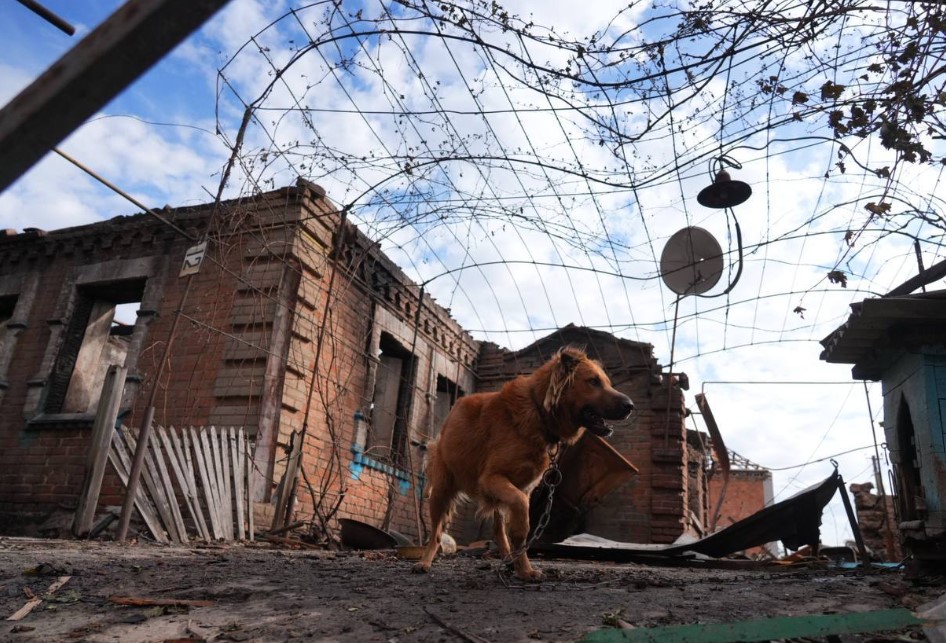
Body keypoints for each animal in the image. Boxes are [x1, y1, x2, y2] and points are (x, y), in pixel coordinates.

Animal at [412, 350, 636, 580]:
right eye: (593, 381)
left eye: (607, 383)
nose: (630, 406)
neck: (539, 412)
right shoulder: (493, 480)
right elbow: (521, 520)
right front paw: (523, 564)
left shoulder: (523, 489)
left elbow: (518, 527)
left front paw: (523, 568)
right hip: (441, 490)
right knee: (436, 533)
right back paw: (425, 562)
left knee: (497, 530)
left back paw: (508, 560)